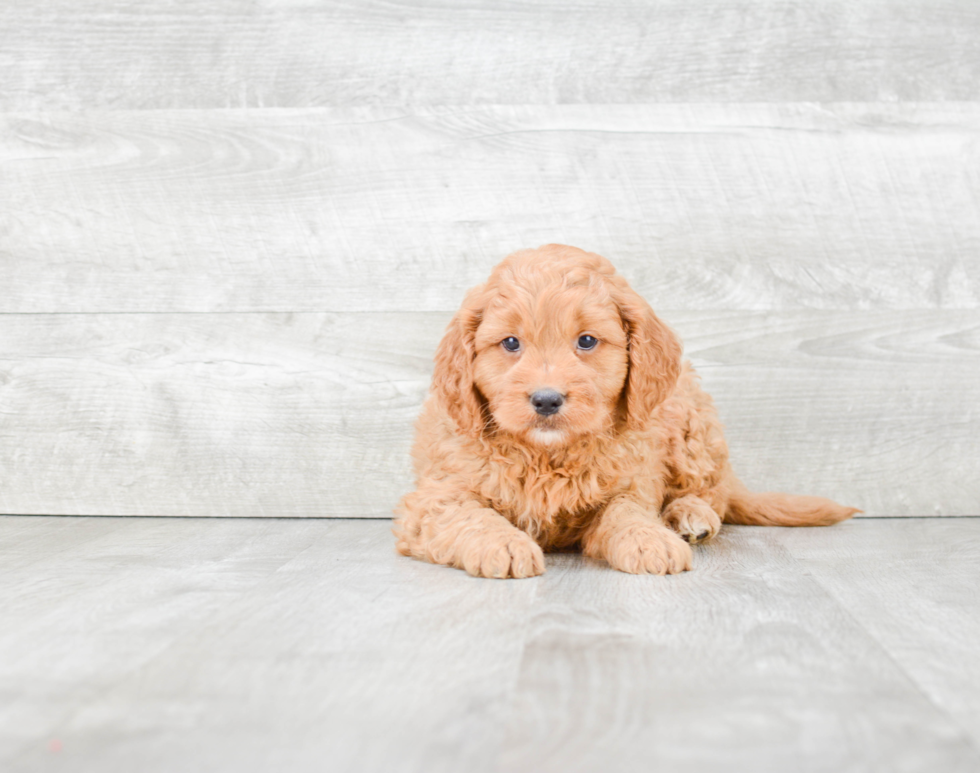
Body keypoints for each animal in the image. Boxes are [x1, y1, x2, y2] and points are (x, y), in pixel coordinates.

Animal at [394, 244, 852, 576]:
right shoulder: (435, 497)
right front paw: (502, 544)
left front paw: (649, 539)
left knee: (713, 493)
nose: (546, 399)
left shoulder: (632, 483)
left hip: (692, 426)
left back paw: (689, 516)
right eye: (510, 343)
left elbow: (626, 512)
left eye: (587, 341)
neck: (547, 455)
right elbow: (470, 516)